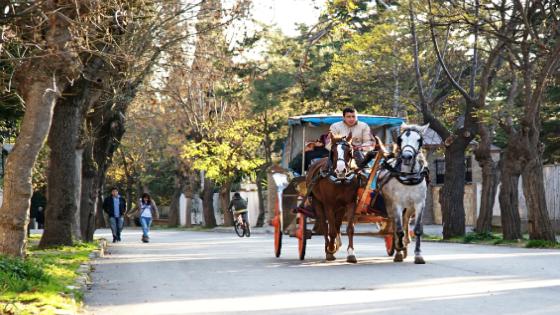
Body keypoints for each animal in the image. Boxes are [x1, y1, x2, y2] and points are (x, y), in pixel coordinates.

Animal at [304, 133, 360, 264]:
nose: (340, 170)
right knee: (325, 226)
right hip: (317, 203)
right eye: (333, 151)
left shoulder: (351, 203)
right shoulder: (328, 204)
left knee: (337, 225)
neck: (340, 180)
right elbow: (331, 230)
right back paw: (328, 248)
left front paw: (351, 253)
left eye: (349, 151)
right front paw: (330, 248)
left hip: (340, 208)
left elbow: (349, 228)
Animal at [378, 123, 430, 264]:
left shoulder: (420, 204)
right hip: (390, 206)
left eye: (419, 140)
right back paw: (398, 248)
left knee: (406, 220)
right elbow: (399, 229)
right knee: (395, 225)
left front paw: (418, 255)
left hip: (410, 207)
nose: (407, 157)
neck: (409, 177)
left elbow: (417, 230)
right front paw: (399, 250)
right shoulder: (397, 205)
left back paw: (406, 242)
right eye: (400, 139)